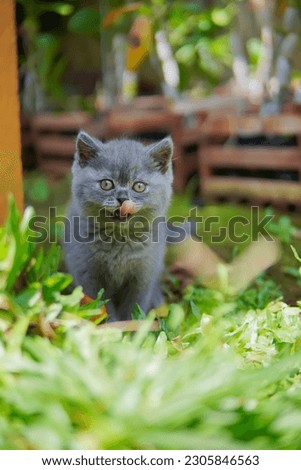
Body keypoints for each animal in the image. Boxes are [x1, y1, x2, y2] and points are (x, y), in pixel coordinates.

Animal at [62, 130, 172, 322]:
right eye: (106, 184)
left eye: (139, 186)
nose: (122, 198)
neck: (119, 239)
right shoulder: (87, 273)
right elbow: (101, 304)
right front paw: (113, 326)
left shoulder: (144, 274)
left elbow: (135, 304)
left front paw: (134, 325)